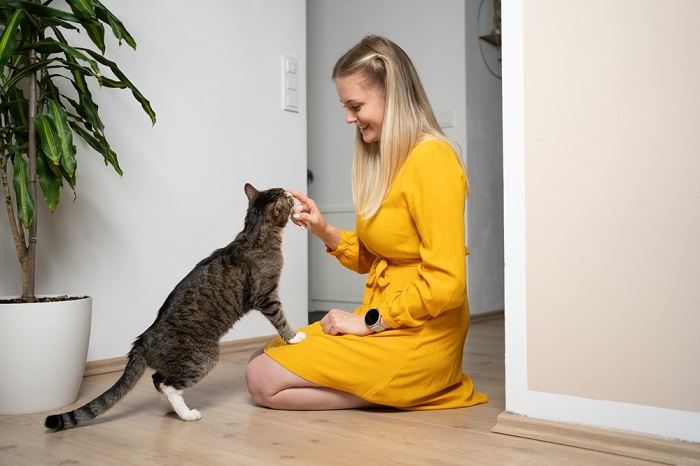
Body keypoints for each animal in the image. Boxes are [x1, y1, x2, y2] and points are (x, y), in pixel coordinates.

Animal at [44, 184, 304, 432]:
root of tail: (143, 341)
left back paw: (170, 409)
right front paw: (294, 337)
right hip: (203, 356)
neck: (255, 232)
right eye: (286, 198)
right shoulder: (266, 294)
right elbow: (280, 318)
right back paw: (187, 414)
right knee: (167, 384)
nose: (291, 193)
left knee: (157, 379)